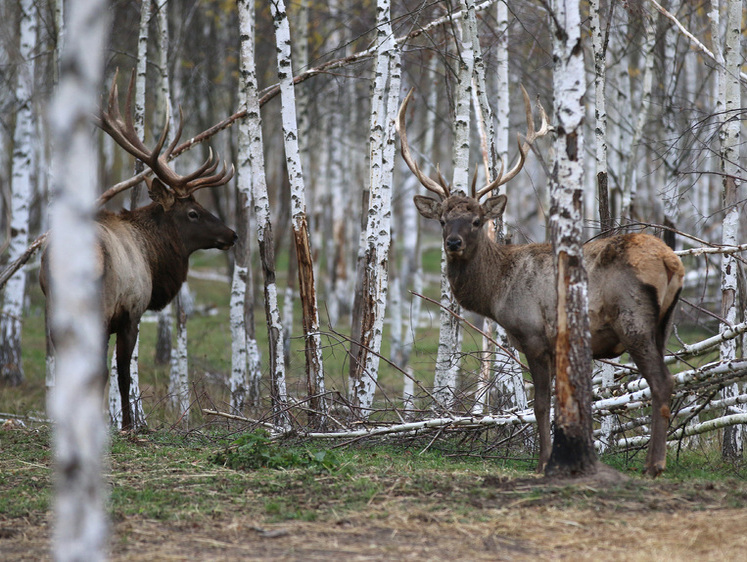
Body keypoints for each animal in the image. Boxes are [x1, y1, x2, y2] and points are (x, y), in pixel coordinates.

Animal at [39, 71, 237, 428]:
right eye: (193, 213)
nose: (232, 234)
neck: (152, 259)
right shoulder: (131, 311)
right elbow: (122, 374)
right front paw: (129, 425)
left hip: (54, 305)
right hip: (99, 304)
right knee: (94, 370)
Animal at [400, 87, 688, 472]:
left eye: (476, 220)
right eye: (443, 220)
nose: (453, 243)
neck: (497, 292)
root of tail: (672, 263)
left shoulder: (534, 334)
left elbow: (539, 404)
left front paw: (543, 463)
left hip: (634, 319)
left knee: (662, 381)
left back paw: (654, 464)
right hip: (664, 324)